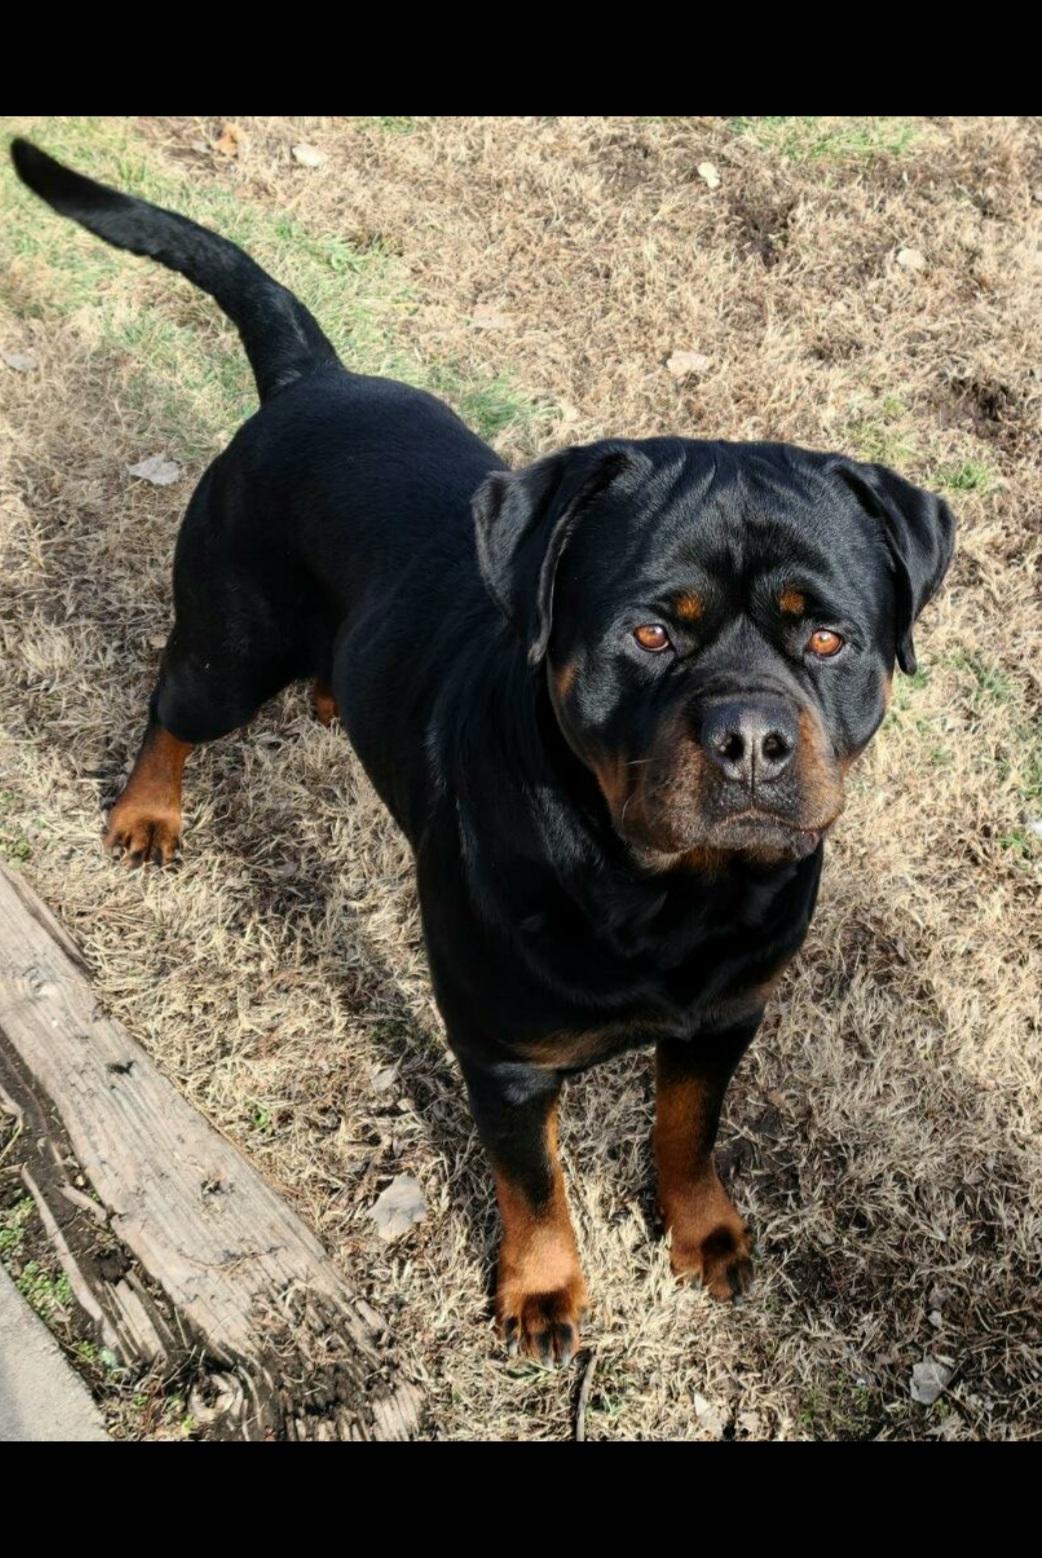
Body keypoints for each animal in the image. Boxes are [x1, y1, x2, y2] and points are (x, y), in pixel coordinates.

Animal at [12, 138, 955, 1366]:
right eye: (651, 632)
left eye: (828, 636)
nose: (750, 737)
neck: (666, 898)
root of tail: (312, 379)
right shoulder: (502, 1056)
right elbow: (534, 1183)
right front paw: (545, 1291)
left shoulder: (724, 1018)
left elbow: (688, 1130)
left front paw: (701, 1232)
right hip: (229, 646)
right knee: (172, 707)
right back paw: (146, 814)